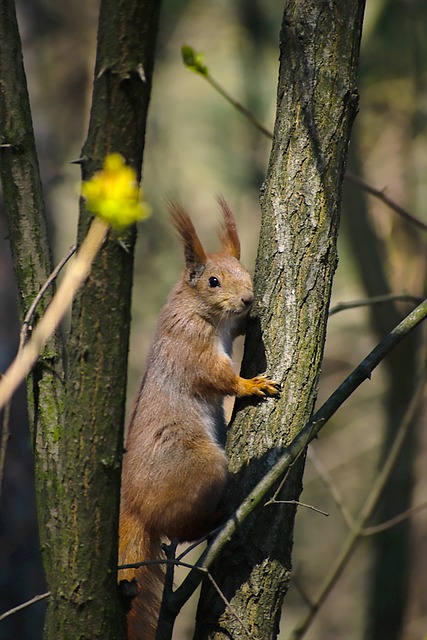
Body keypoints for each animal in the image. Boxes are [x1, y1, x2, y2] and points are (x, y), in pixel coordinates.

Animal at [118, 198, 282, 636]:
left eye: (247, 273)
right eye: (212, 281)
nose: (248, 300)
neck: (203, 313)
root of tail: (133, 503)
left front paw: (249, 320)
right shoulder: (189, 348)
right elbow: (216, 377)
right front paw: (249, 385)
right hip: (201, 467)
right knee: (178, 528)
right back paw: (215, 519)